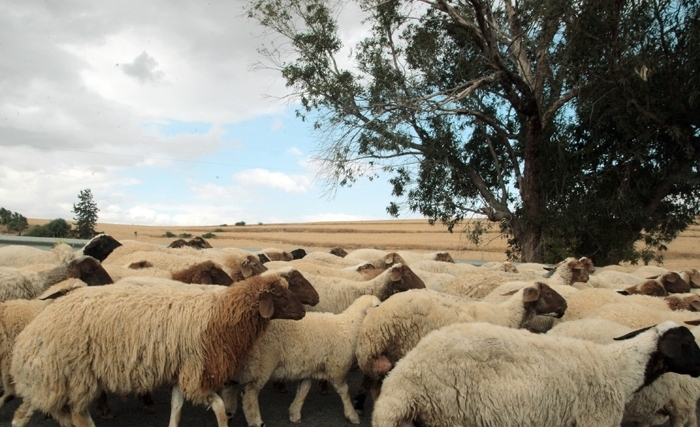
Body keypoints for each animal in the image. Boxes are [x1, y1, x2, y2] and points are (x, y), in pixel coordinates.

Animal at [8, 272, 308, 427]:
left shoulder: (179, 371)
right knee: (78, 415)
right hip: (76, 376)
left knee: (41, 412)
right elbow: (220, 407)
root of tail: (28, 337)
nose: (304, 312)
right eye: (281, 295)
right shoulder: (195, 373)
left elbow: (176, 408)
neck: (220, 315)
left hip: (56, 381)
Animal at [226, 294, 380, 427]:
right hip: (262, 364)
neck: (349, 327)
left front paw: (294, 413)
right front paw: (352, 415)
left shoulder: (309, 367)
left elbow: (303, 390)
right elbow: (345, 392)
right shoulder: (336, 367)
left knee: (231, 387)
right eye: (378, 305)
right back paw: (256, 421)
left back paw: (229, 412)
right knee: (249, 394)